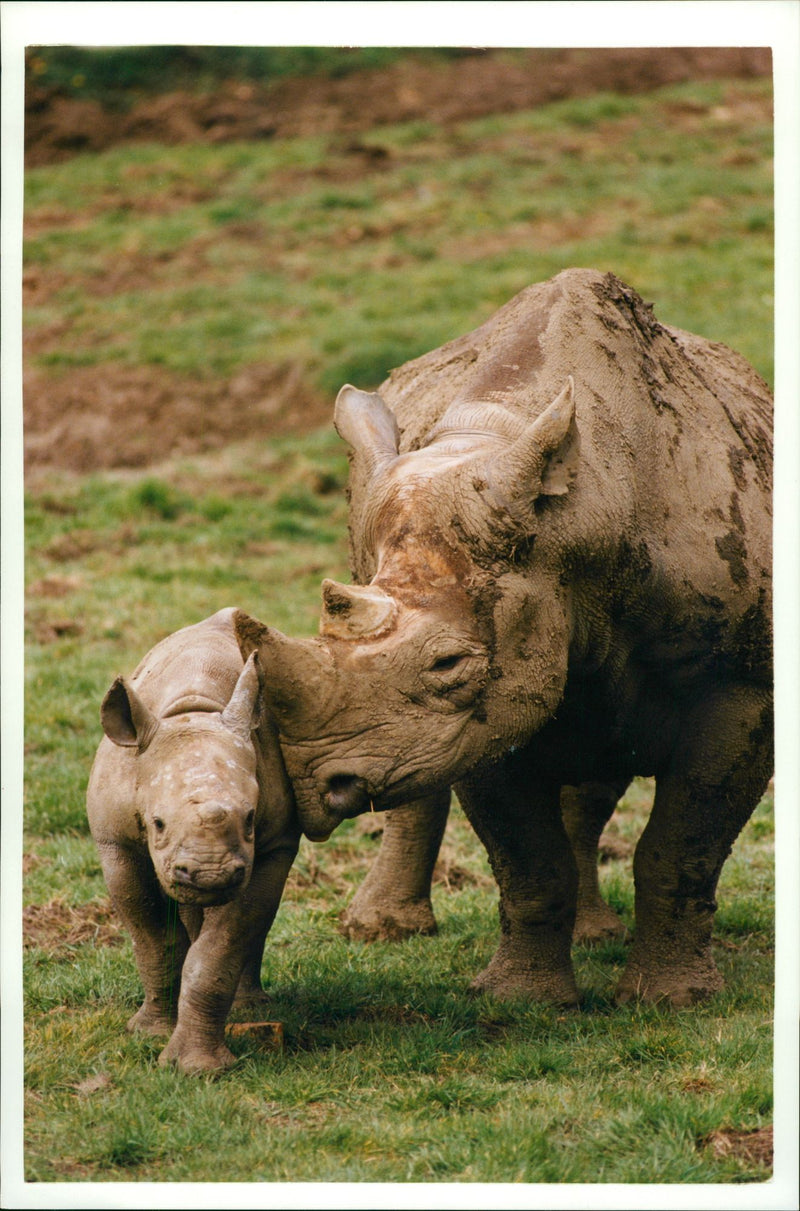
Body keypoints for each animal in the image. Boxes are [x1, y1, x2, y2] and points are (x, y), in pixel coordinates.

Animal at [86, 610, 300, 1075]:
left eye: (251, 819)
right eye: (158, 824)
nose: (210, 875)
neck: (192, 713)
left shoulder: (272, 845)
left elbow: (221, 947)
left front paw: (199, 1069)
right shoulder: (116, 843)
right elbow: (154, 940)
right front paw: (149, 1033)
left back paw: (251, 1009)